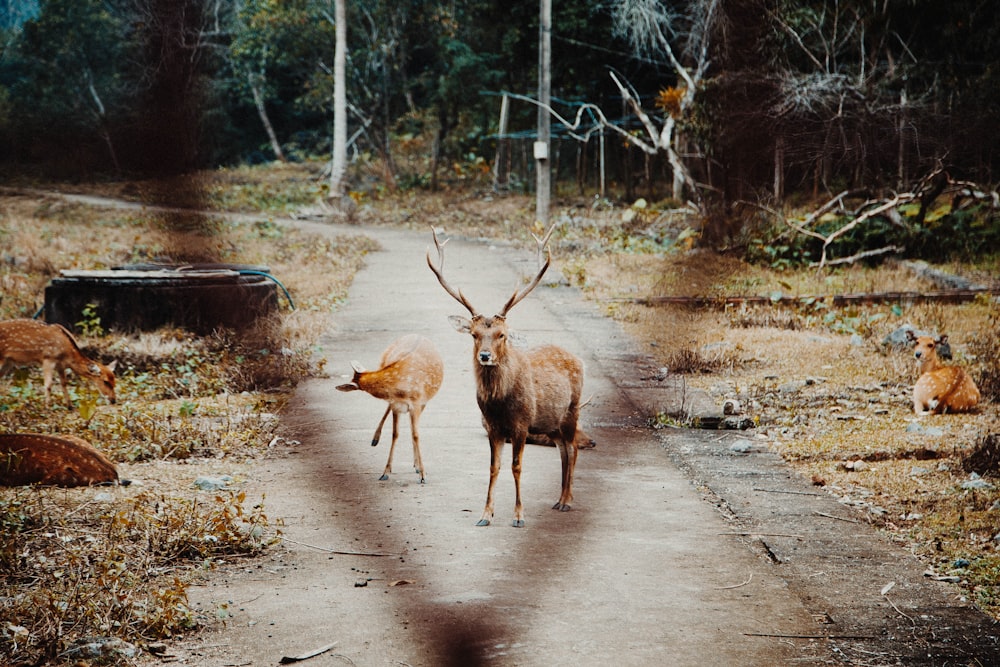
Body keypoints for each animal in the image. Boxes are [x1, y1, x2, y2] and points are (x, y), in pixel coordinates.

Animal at [336, 336, 442, 482]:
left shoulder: (417, 402)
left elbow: (415, 435)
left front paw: (423, 475)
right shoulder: (396, 405)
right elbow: (395, 434)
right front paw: (385, 472)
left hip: (424, 400)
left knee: (412, 429)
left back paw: (416, 465)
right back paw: (375, 439)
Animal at [424, 224, 584, 528]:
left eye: (502, 335)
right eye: (474, 334)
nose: (485, 356)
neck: (499, 404)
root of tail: (576, 358)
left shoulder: (521, 423)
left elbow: (516, 466)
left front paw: (519, 516)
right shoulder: (492, 426)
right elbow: (494, 467)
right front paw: (485, 514)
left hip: (572, 410)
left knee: (573, 448)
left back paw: (568, 501)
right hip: (551, 421)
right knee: (562, 449)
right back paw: (559, 499)